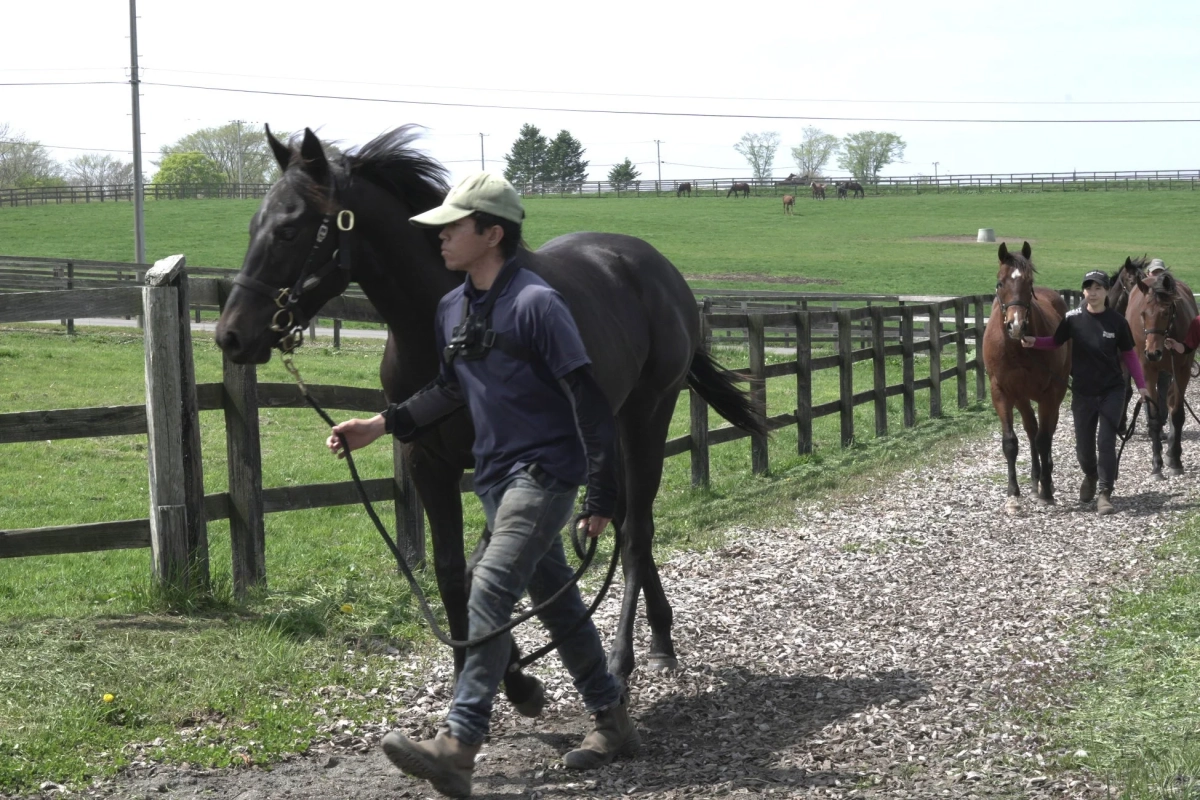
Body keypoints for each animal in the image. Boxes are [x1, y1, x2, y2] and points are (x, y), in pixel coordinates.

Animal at [214, 125, 770, 706]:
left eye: (289, 229)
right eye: (255, 225)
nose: (231, 335)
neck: (440, 324)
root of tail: (657, 268)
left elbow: (488, 564)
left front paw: (515, 675)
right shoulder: (427, 462)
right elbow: (452, 571)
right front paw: (493, 672)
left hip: (647, 414)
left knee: (637, 531)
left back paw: (624, 660)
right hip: (606, 427)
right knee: (618, 520)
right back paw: (660, 638)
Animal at [981, 242, 1071, 505]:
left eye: (1028, 283)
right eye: (1000, 282)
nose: (1016, 325)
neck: (1016, 349)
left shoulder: (1049, 393)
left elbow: (1044, 438)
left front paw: (1047, 490)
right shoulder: (1001, 392)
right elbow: (1011, 442)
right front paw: (1013, 489)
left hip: (1056, 391)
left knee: (1046, 431)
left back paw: (1045, 478)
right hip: (1022, 397)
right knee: (1031, 429)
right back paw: (1035, 478)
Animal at [1125, 270, 1198, 477]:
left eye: (1165, 313)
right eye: (1143, 313)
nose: (1152, 353)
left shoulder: (1182, 371)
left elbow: (1177, 413)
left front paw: (1174, 460)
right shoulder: (1147, 371)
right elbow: (1154, 416)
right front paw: (1156, 464)